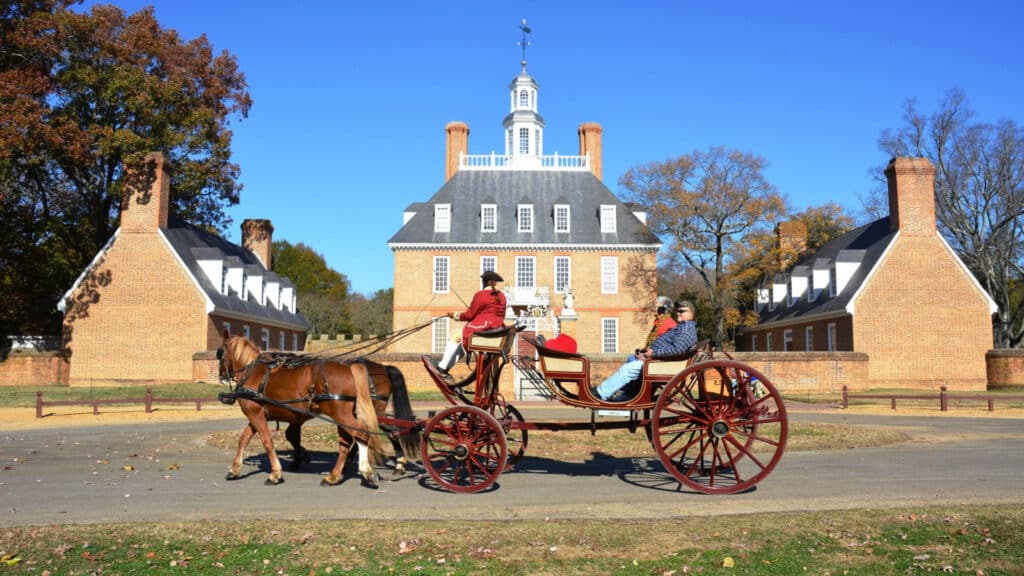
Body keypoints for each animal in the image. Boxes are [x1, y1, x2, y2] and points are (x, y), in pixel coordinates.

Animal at [218, 332, 382, 483]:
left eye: (220, 353)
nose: (221, 376)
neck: (252, 373)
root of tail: (348, 368)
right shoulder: (256, 415)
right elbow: (244, 439)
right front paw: (234, 470)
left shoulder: (255, 413)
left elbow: (267, 441)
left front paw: (275, 473)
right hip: (341, 416)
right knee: (346, 442)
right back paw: (334, 476)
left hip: (341, 414)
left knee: (361, 434)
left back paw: (364, 471)